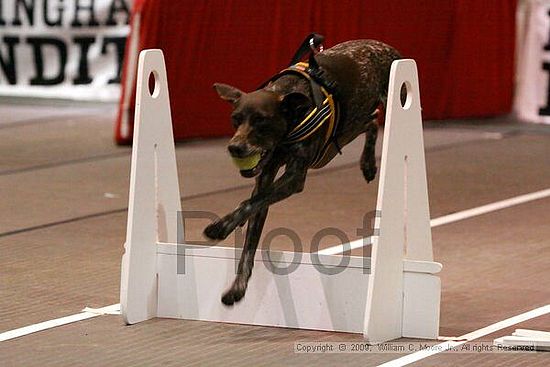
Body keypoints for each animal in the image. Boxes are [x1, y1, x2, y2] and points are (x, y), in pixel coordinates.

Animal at [205, 38, 404, 306]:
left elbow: (249, 203)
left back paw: (369, 164)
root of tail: (385, 46)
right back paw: (367, 163)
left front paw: (220, 227)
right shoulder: (266, 176)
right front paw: (238, 286)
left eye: (261, 121)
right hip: (348, 127)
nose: (235, 147)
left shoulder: (294, 178)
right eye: (235, 118)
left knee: (373, 120)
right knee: (371, 121)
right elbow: (251, 228)